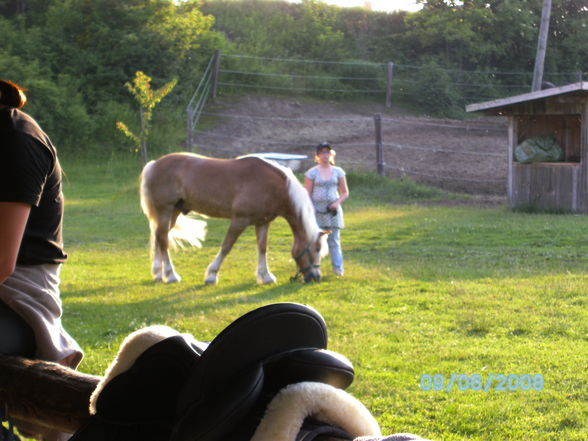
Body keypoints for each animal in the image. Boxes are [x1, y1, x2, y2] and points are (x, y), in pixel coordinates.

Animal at [140, 155, 328, 284]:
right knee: (163, 240)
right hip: (165, 210)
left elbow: (262, 248)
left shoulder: (263, 222)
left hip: (173, 212)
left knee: (159, 237)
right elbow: (226, 247)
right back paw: (171, 275)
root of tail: (154, 164)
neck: (273, 186)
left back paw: (158, 274)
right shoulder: (240, 220)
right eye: (317, 249)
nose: (316, 277)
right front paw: (212, 276)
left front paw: (266, 276)